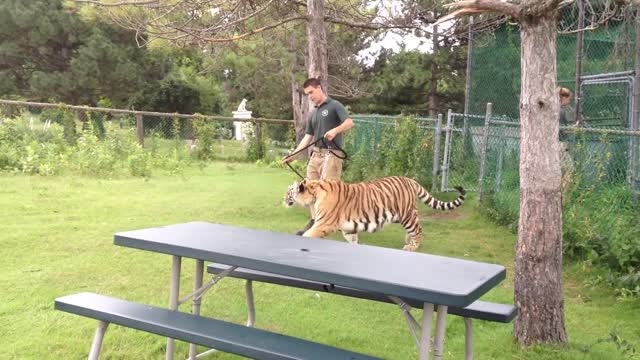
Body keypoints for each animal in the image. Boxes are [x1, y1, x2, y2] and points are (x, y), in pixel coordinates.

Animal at [284, 176, 464, 250]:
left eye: (289, 191)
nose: (283, 199)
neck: (314, 192)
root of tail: (410, 180)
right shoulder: (348, 228)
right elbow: (353, 240)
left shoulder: (323, 224)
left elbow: (308, 234)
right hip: (401, 215)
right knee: (414, 229)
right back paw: (409, 242)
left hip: (406, 215)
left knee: (418, 230)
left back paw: (412, 247)